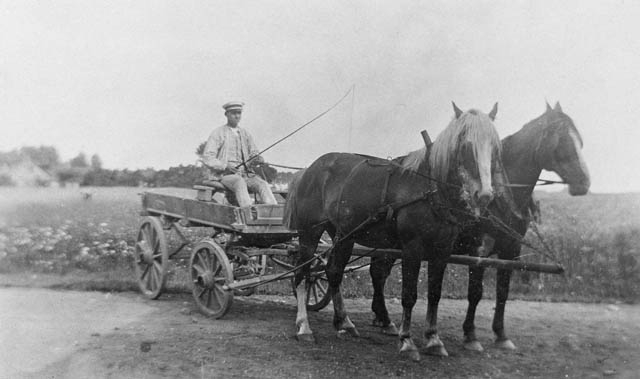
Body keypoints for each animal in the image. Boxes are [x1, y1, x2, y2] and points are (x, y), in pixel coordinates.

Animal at [284, 102, 504, 360]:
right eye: (466, 144)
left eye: (495, 147)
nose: (485, 195)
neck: (430, 188)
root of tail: (308, 170)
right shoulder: (412, 248)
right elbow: (409, 295)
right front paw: (407, 340)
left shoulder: (442, 250)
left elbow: (434, 294)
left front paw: (433, 339)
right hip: (310, 233)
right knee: (302, 274)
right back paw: (303, 326)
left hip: (343, 235)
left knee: (333, 272)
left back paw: (344, 322)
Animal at [368, 101, 592, 354]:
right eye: (562, 138)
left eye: (579, 139)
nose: (584, 182)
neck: (501, 196)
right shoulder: (479, 251)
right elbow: (475, 293)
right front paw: (470, 335)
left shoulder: (510, 251)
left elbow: (502, 292)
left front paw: (501, 334)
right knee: (378, 272)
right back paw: (385, 318)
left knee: (379, 272)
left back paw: (382, 317)